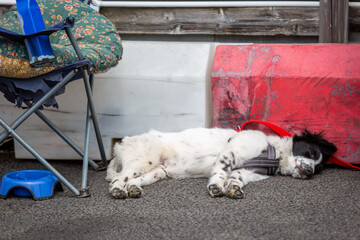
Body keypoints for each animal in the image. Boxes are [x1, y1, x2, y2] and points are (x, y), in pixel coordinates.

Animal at [105, 127, 336, 199]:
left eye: (318, 168)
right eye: (310, 151)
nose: (309, 171)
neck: (273, 154)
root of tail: (119, 146)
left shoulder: (248, 172)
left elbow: (235, 178)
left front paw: (233, 188)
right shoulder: (232, 152)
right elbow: (221, 172)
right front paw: (216, 186)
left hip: (157, 170)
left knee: (132, 180)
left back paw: (133, 189)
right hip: (143, 160)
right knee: (117, 179)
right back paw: (117, 191)